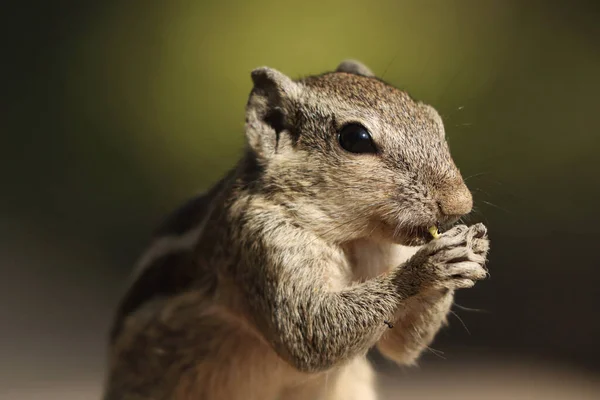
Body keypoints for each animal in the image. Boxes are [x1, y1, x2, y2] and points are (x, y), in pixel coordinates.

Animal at [102, 59, 488, 400]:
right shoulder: (259, 243)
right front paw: (429, 266)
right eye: (356, 137)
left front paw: (471, 250)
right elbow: (311, 332)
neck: (353, 240)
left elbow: (402, 345)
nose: (459, 203)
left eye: (434, 121)